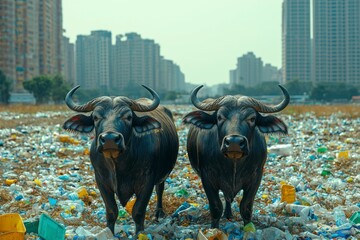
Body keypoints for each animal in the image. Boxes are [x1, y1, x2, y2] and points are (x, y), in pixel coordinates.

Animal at [64, 85, 179, 233]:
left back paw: (159, 212)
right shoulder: (101, 181)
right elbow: (111, 211)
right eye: (95, 117)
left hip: (163, 175)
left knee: (160, 189)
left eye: (128, 117)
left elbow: (138, 211)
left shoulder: (147, 181)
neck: (118, 164)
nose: (109, 139)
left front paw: (139, 233)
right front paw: (110, 232)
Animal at [183, 85, 290, 229]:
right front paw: (214, 229)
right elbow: (216, 207)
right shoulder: (207, 177)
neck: (234, 164)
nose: (234, 142)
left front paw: (249, 229)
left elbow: (246, 207)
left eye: (252, 118)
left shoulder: (256, 177)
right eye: (219, 117)